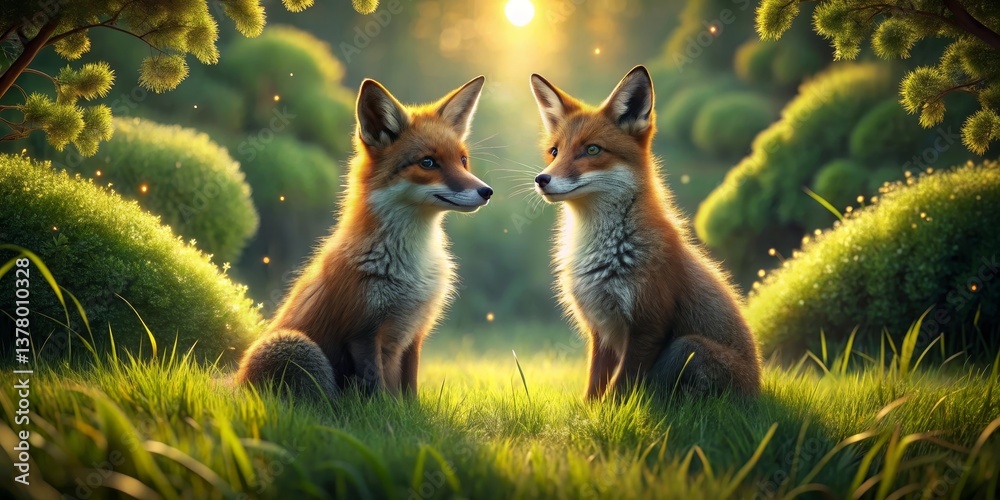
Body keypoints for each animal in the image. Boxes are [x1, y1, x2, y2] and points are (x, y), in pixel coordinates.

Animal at [236, 76, 493, 400]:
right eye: (428, 163)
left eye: (462, 160)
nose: (486, 191)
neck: (411, 266)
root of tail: (231, 384)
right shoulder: (362, 333)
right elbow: (377, 392)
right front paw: (382, 412)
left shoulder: (415, 334)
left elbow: (409, 394)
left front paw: (409, 411)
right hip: (296, 346)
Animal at [529, 66, 762, 399]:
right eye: (554, 151)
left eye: (592, 149)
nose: (541, 179)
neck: (604, 253)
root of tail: (759, 392)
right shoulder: (600, 327)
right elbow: (595, 386)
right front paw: (588, 411)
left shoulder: (648, 325)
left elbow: (620, 387)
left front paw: (613, 410)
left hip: (687, 346)